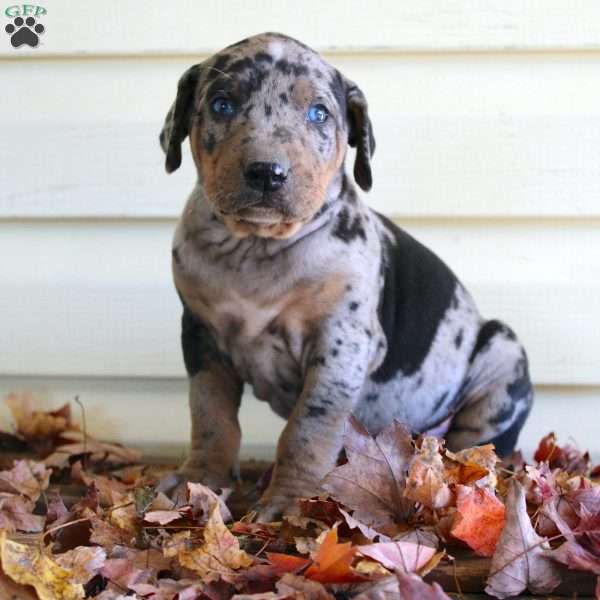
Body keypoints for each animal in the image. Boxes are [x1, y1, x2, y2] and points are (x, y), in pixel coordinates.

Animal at [158, 34, 528, 520]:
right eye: (221, 104)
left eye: (319, 113)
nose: (266, 172)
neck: (256, 250)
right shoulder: (201, 336)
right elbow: (210, 416)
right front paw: (199, 480)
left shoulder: (341, 342)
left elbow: (307, 429)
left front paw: (290, 500)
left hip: (501, 357)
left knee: (477, 447)